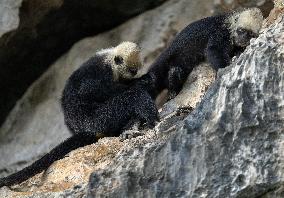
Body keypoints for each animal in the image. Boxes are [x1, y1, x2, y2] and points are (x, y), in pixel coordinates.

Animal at [0, 41, 158, 187]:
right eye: (132, 70)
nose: (134, 74)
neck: (109, 58)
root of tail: (85, 129)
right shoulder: (102, 71)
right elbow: (91, 90)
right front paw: (140, 81)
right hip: (100, 119)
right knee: (133, 96)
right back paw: (151, 117)